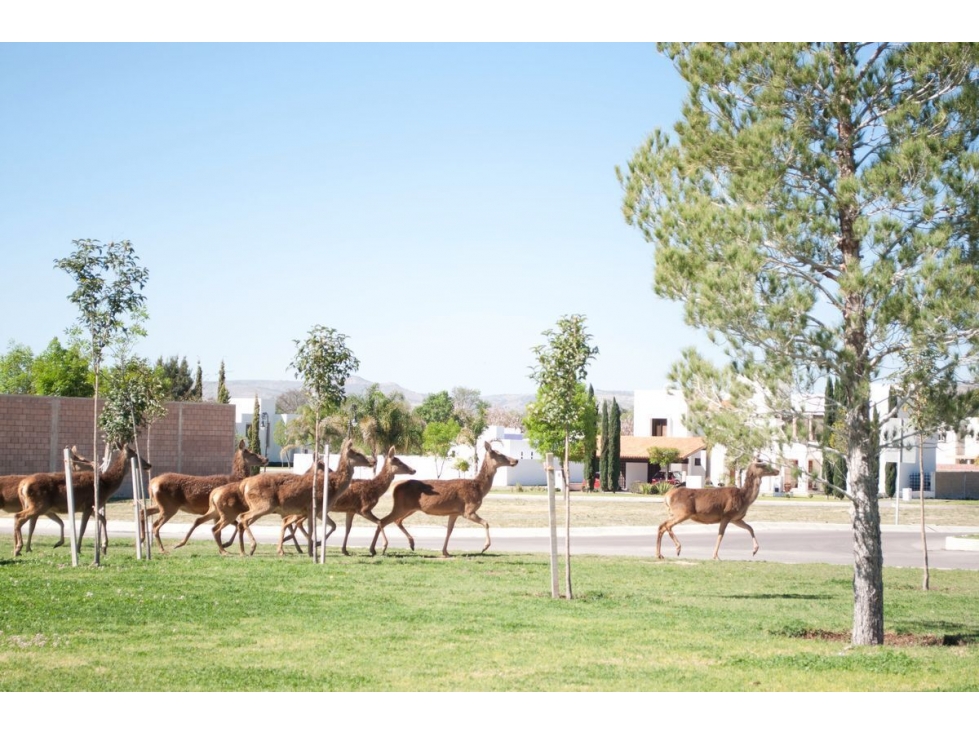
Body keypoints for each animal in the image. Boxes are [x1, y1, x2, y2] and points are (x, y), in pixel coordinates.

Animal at [13, 442, 153, 556]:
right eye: (135, 454)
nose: (148, 464)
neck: (106, 484)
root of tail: (22, 485)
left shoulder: (91, 506)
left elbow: (103, 519)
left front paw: (104, 547)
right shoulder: (88, 504)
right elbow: (83, 527)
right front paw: (78, 548)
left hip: (34, 505)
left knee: (23, 520)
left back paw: (21, 548)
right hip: (39, 504)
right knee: (19, 517)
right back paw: (18, 548)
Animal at [236, 440, 376, 556]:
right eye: (357, 453)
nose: (373, 461)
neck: (333, 487)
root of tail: (244, 484)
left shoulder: (318, 511)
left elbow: (331, 526)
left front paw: (314, 547)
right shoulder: (314, 507)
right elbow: (312, 529)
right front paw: (312, 551)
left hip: (260, 506)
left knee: (243, 520)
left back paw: (244, 551)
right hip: (265, 504)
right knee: (243, 517)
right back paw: (253, 547)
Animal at [370, 442, 520, 556]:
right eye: (499, 454)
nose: (516, 460)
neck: (479, 488)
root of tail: (395, 487)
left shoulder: (454, 512)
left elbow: (449, 530)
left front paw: (445, 552)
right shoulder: (468, 510)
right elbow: (486, 523)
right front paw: (484, 547)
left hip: (409, 508)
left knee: (395, 520)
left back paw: (410, 544)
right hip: (401, 506)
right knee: (383, 521)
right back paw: (379, 548)